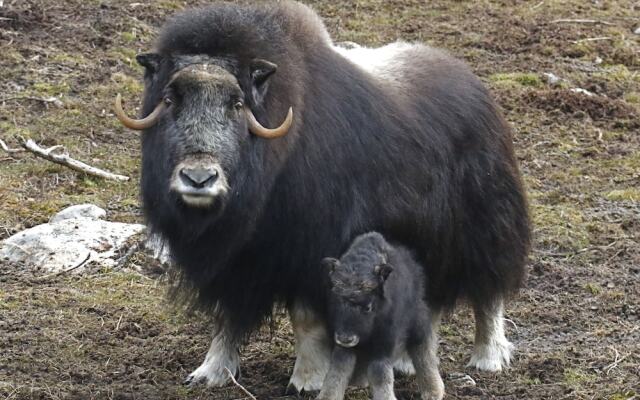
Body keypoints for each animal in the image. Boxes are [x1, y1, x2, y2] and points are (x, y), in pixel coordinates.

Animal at [322, 231, 442, 400]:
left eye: (368, 307)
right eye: (336, 301)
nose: (346, 339)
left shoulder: (384, 343)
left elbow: (379, 372)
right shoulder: (343, 344)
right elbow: (338, 368)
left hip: (417, 321)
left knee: (423, 348)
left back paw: (433, 391)